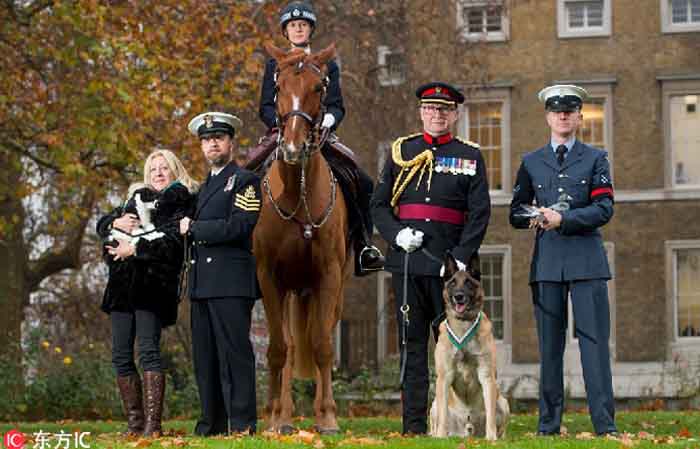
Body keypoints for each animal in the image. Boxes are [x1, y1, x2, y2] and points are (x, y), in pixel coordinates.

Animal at [252, 43, 350, 432]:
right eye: (277, 86)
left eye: (320, 87)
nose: (293, 148)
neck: (299, 190)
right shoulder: (269, 277)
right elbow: (280, 348)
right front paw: (274, 416)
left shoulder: (329, 275)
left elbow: (323, 345)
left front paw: (328, 416)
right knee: (291, 346)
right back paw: (283, 414)